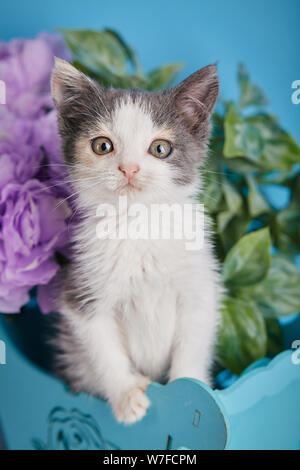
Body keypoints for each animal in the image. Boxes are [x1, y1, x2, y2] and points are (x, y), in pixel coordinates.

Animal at [50, 57, 221, 424]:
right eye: (102, 145)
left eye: (160, 148)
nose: (129, 168)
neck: (138, 224)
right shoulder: (82, 292)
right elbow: (103, 350)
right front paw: (127, 395)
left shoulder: (200, 287)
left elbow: (193, 343)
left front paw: (189, 387)